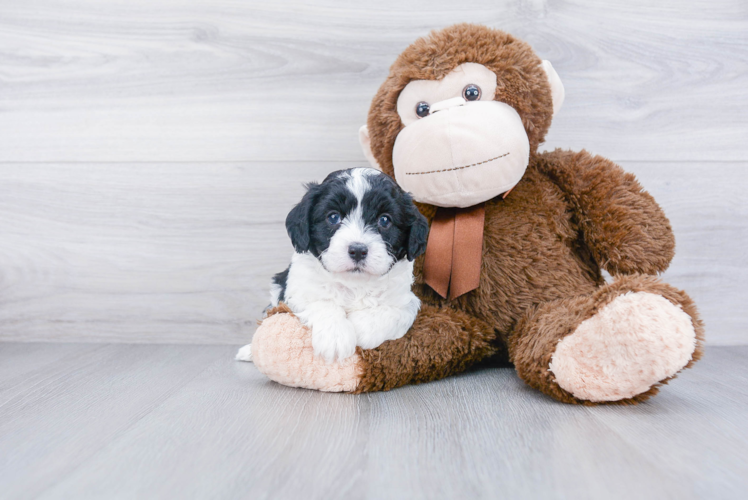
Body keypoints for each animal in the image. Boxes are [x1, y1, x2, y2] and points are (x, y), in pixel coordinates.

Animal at [237, 168, 430, 364]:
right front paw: (335, 337)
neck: (354, 285)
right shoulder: (299, 291)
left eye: (384, 220)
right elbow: (322, 303)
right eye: (333, 217)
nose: (358, 250)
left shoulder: (406, 299)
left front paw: (361, 328)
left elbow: (396, 312)